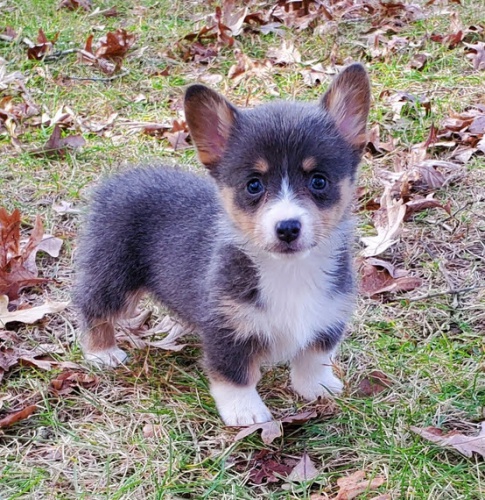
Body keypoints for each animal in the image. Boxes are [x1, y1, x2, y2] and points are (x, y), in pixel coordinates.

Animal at [74, 62, 370, 426]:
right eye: (253, 185)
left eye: (318, 181)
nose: (287, 228)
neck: (289, 271)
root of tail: (118, 181)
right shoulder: (226, 326)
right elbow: (234, 374)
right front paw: (246, 413)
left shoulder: (327, 316)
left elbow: (313, 358)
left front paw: (318, 388)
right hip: (115, 272)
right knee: (94, 305)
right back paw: (102, 352)